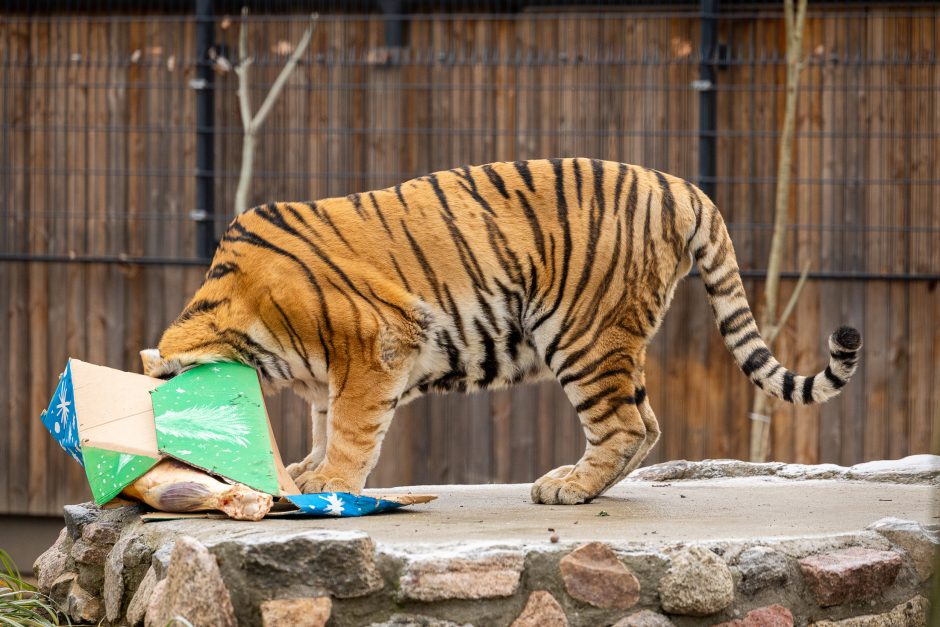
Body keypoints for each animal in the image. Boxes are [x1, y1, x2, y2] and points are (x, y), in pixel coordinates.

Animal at [140, 157, 860, 506]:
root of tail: (680, 185)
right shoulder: (331, 367)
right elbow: (324, 416)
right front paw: (309, 467)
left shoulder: (377, 343)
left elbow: (351, 423)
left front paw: (328, 482)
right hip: (615, 340)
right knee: (647, 424)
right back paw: (580, 479)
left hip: (580, 333)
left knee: (626, 425)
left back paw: (568, 488)